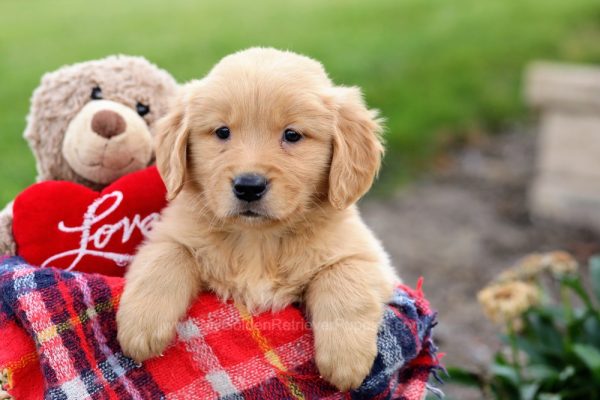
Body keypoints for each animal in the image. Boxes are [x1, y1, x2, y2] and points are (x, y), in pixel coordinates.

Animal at [116, 47, 398, 390]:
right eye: (222, 132)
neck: (258, 239)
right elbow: (165, 259)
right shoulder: (167, 234)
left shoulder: (368, 256)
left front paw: (346, 360)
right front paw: (140, 327)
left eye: (292, 135)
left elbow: (345, 278)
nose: (248, 186)